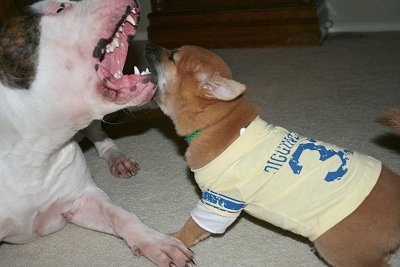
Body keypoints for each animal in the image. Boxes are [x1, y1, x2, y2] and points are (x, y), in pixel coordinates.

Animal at [0, 1, 194, 266]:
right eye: (60, 8)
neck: (37, 149)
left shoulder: (84, 198)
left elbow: (122, 215)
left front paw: (158, 242)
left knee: (101, 137)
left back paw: (118, 159)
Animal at [147, 45, 400, 266]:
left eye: (172, 56)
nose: (150, 45)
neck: (219, 121)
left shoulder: (218, 203)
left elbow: (190, 229)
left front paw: (171, 242)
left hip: (339, 249)